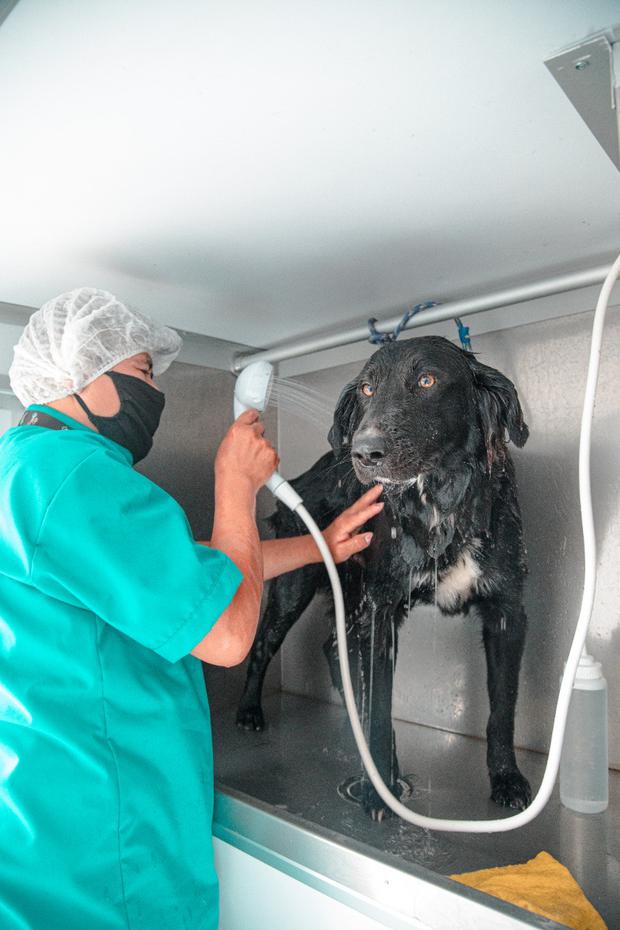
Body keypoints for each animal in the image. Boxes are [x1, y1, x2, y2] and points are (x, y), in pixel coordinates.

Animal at [237, 336, 532, 820]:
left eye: (427, 380)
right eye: (367, 389)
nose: (364, 453)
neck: (439, 505)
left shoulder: (507, 611)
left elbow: (503, 709)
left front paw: (507, 777)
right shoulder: (381, 611)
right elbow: (380, 707)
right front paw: (379, 789)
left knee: (333, 648)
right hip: (294, 587)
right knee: (264, 647)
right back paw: (248, 712)